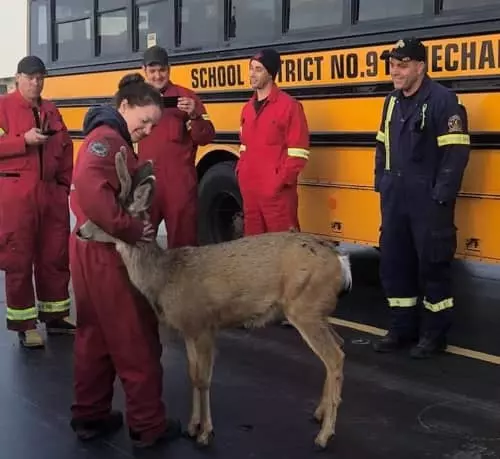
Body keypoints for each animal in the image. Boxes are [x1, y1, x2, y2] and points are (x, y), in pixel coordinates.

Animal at [77, 148, 352, 452]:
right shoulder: (188, 328)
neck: (165, 276)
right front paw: (192, 426)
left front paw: (205, 433)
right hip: (316, 310)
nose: (80, 230)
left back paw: (324, 435)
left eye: (106, 214)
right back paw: (319, 413)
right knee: (338, 346)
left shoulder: (205, 324)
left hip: (304, 308)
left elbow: (205, 379)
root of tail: (340, 261)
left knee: (335, 357)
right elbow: (193, 375)